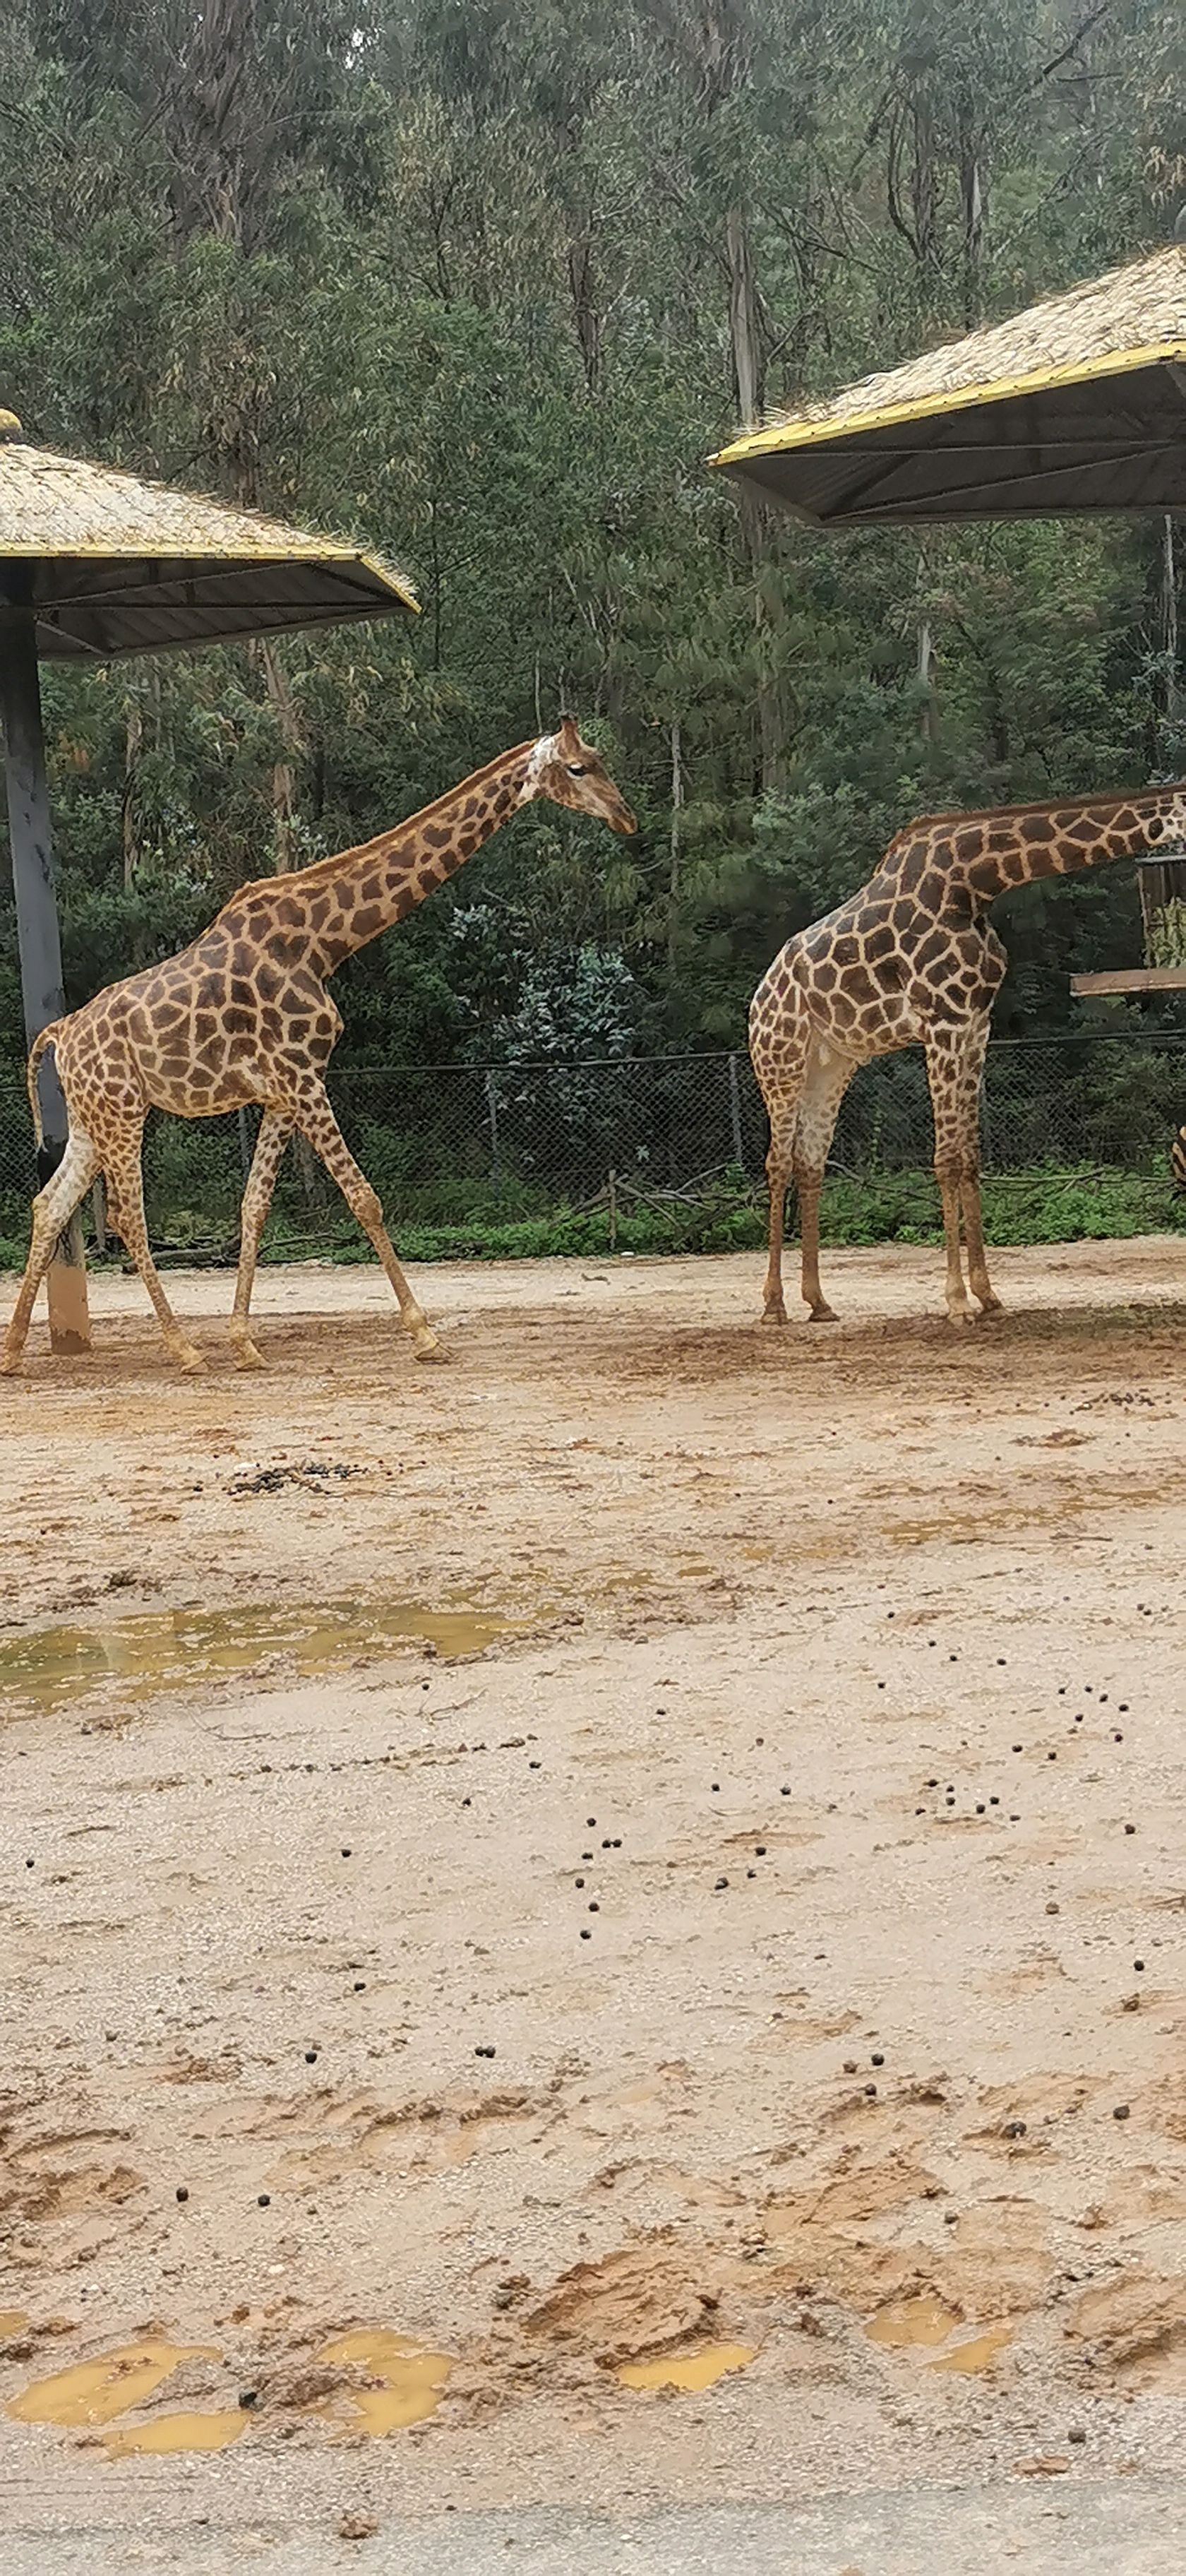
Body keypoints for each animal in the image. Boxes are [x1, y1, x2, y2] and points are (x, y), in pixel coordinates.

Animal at [4, 716, 633, 1381]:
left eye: (598, 759)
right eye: (578, 768)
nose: (625, 817)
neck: (322, 942)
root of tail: (60, 1034)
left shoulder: (283, 1092)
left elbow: (254, 1205)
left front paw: (245, 1342)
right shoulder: (305, 1077)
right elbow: (365, 1198)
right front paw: (425, 1334)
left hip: (92, 1119)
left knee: (49, 1204)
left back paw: (16, 1351)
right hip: (124, 1112)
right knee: (128, 1217)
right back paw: (183, 1349)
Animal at [751, 782, 1183, 1329]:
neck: (976, 883)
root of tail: (757, 1000)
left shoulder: (977, 1026)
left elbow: (971, 1158)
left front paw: (989, 1295)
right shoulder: (943, 1022)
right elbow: (946, 1159)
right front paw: (957, 1301)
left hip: (829, 1066)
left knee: (810, 1162)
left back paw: (819, 1303)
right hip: (780, 1059)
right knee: (777, 1162)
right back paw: (774, 1306)